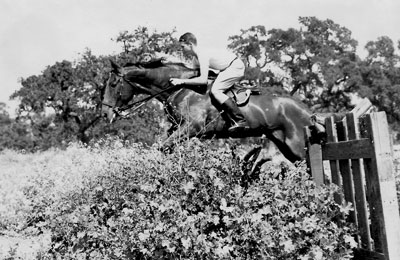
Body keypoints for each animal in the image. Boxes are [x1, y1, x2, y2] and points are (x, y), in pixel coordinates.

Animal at [101, 59, 312, 162]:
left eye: (113, 84)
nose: (105, 114)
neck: (179, 88)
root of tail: (308, 112)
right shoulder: (177, 128)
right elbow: (164, 147)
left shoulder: (192, 128)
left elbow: (163, 147)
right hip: (283, 144)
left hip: (297, 146)